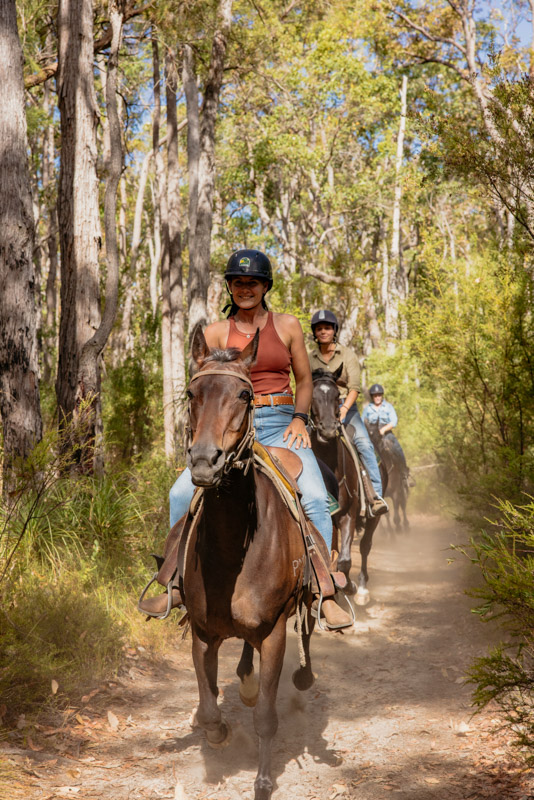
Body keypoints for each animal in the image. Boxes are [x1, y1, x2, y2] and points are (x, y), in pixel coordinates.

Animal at [184, 324, 318, 800]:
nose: (205, 461)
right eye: (191, 393)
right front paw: (218, 733)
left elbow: (265, 717)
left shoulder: (275, 631)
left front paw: (262, 780)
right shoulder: (202, 631)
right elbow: (207, 707)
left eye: (244, 395)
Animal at [310, 368, 386, 608]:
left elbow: (344, 559)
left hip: (373, 517)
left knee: (364, 546)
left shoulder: (348, 514)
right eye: (313, 396)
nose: (327, 429)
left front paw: (349, 586)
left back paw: (361, 589)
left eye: (337, 396)